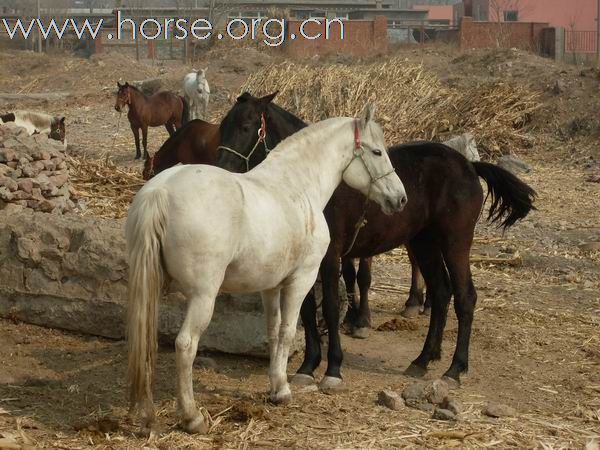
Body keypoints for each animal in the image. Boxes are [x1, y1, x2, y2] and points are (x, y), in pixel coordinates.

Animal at [126, 103, 408, 434]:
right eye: (377, 152)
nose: (399, 198)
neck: (297, 186)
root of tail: (160, 192)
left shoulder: (270, 286)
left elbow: (273, 333)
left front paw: (274, 386)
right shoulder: (302, 279)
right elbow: (287, 331)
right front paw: (284, 390)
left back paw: (146, 412)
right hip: (202, 297)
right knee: (185, 345)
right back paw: (192, 417)